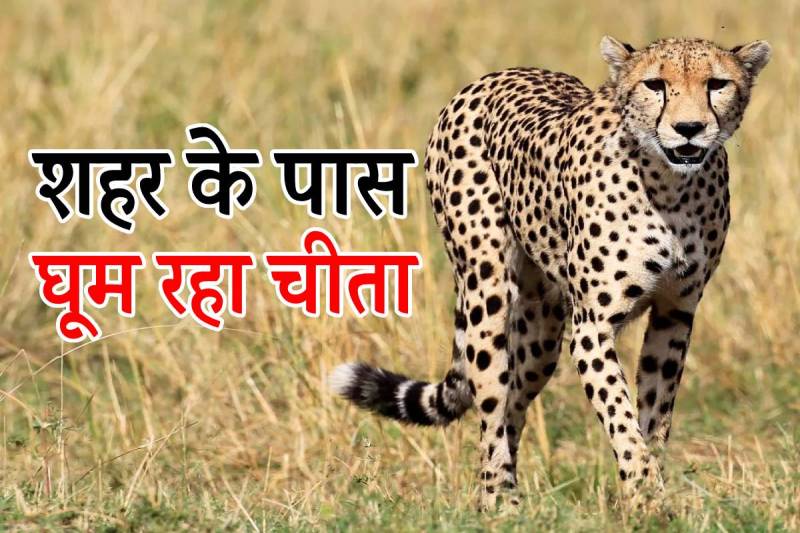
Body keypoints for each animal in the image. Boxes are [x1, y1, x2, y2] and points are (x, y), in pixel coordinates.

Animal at [329, 36, 771, 510]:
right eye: (655, 84)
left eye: (716, 84)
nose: (689, 128)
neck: (671, 186)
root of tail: (492, 77)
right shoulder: (592, 327)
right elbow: (621, 416)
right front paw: (644, 495)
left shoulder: (675, 315)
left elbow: (654, 417)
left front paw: (654, 494)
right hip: (487, 292)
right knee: (491, 404)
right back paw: (498, 501)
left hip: (542, 330)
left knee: (514, 403)